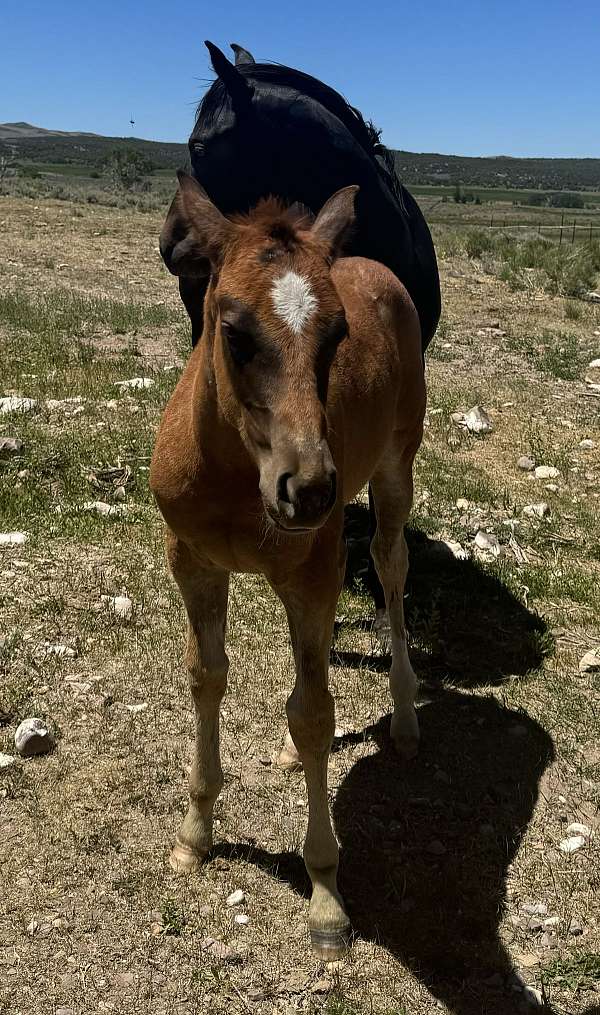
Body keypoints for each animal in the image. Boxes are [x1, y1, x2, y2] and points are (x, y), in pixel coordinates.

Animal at [151, 174, 426, 958]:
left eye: (337, 336)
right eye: (234, 332)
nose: (309, 490)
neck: (237, 477)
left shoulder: (313, 569)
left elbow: (315, 711)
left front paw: (327, 895)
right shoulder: (192, 562)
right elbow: (207, 676)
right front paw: (195, 835)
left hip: (394, 472)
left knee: (390, 569)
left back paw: (403, 718)